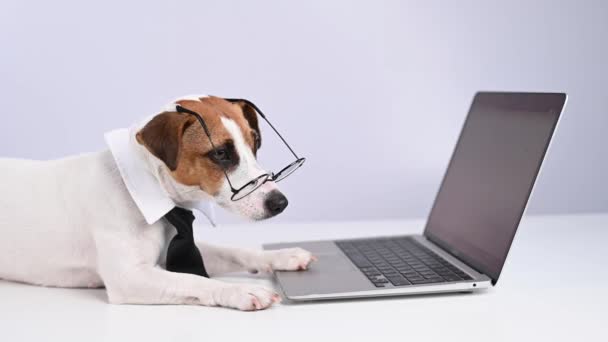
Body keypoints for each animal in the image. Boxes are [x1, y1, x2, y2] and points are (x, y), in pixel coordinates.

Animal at [1, 95, 318, 312]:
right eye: (221, 154)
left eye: (254, 145)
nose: (280, 202)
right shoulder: (130, 277)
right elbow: (194, 280)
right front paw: (239, 291)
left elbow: (234, 251)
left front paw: (281, 256)